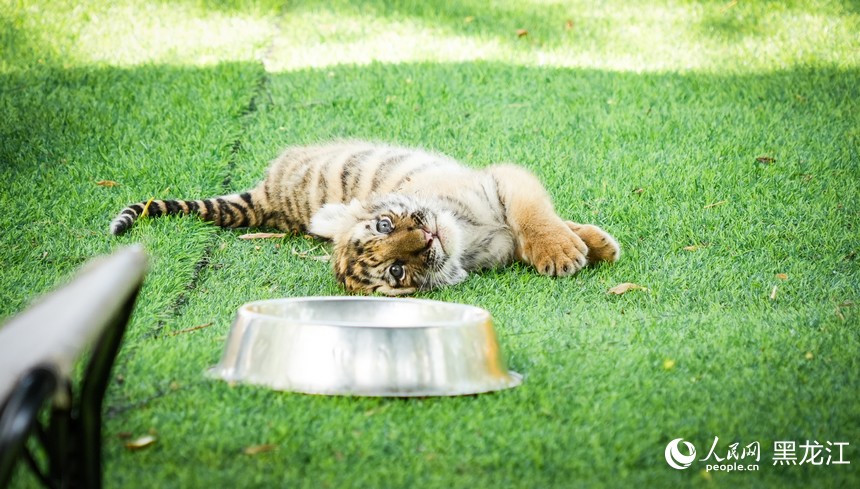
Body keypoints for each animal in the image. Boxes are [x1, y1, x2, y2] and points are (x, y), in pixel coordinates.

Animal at [110, 141, 620, 295]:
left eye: (384, 224)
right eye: (397, 271)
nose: (428, 240)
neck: (468, 234)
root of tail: (266, 199)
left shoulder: (501, 180)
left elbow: (534, 215)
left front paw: (581, 245)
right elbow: (528, 228)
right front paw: (572, 251)